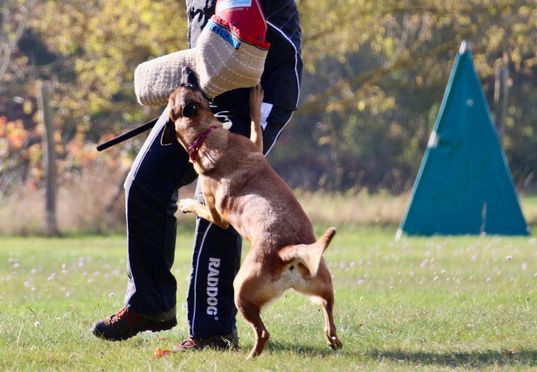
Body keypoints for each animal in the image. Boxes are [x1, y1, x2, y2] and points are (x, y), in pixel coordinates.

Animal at [165, 67, 342, 358]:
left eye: (182, 87)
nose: (186, 72)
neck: (201, 139)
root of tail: (286, 252)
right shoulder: (219, 215)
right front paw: (187, 204)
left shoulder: (251, 149)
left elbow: (255, 121)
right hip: (272, 287)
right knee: (295, 320)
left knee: (279, 326)